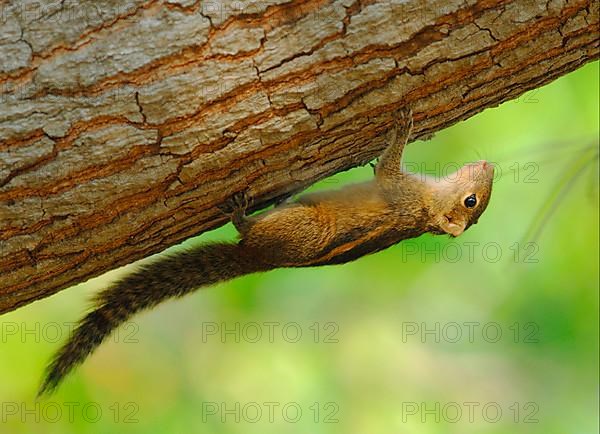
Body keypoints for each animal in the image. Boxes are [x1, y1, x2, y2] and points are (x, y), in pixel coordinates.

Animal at [37, 108, 494, 396]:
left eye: (470, 202)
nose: (489, 165)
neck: (426, 208)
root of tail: (258, 260)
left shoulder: (398, 188)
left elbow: (388, 162)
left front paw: (403, 123)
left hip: (299, 227)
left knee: (248, 227)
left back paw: (242, 215)